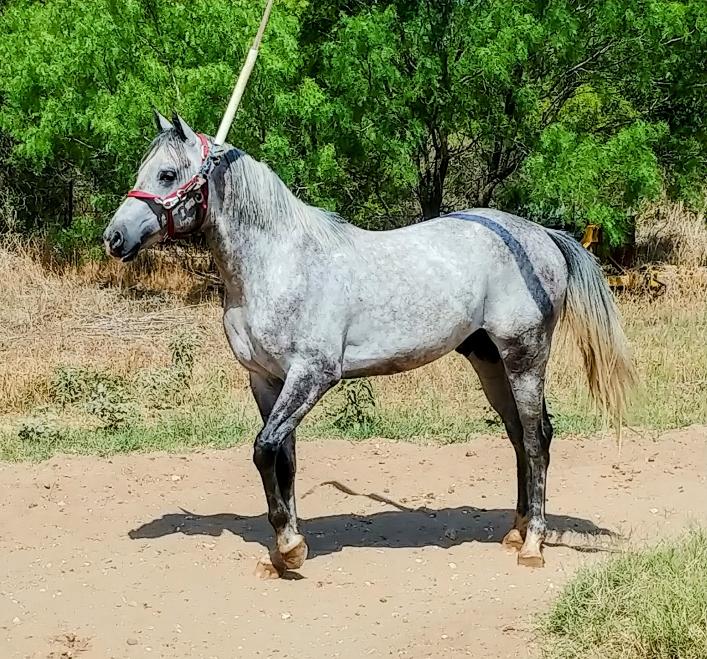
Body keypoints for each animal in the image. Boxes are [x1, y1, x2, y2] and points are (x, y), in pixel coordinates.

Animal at [103, 112, 635, 577]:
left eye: (168, 173)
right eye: (143, 169)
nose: (114, 237)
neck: (279, 263)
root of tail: (542, 234)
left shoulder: (313, 374)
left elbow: (264, 449)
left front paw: (290, 547)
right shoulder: (266, 380)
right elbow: (283, 456)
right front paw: (282, 552)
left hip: (524, 355)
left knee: (536, 437)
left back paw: (533, 545)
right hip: (489, 360)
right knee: (519, 437)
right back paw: (516, 530)